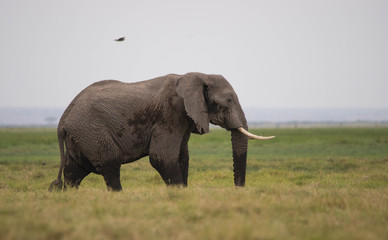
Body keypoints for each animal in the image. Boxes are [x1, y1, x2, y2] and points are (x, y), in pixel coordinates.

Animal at [48, 71, 274, 191]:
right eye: (228, 100)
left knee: (75, 170)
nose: (237, 189)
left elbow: (183, 156)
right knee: (109, 163)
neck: (198, 75)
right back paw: (118, 196)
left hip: (80, 136)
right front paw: (178, 192)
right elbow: (162, 157)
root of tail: (62, 121)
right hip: (91, 131)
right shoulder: (170, 114)